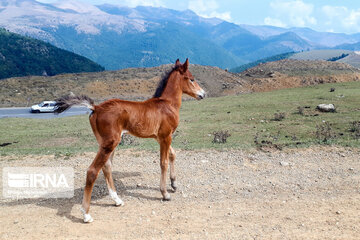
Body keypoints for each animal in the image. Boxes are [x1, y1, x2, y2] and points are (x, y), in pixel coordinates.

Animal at [54, 58, 205, 223]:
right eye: (192, 79)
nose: (203, 94)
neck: (167, 104)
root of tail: (96, 107)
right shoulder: (166, 136)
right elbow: (163, 162)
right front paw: (165, 193)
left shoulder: (161, 137)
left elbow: (172, 154)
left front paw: (174, 184)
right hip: (110, 143)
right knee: (93, 170)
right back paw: (86, 214)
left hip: (106, 143)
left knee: (107, 167)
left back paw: (117, 200)